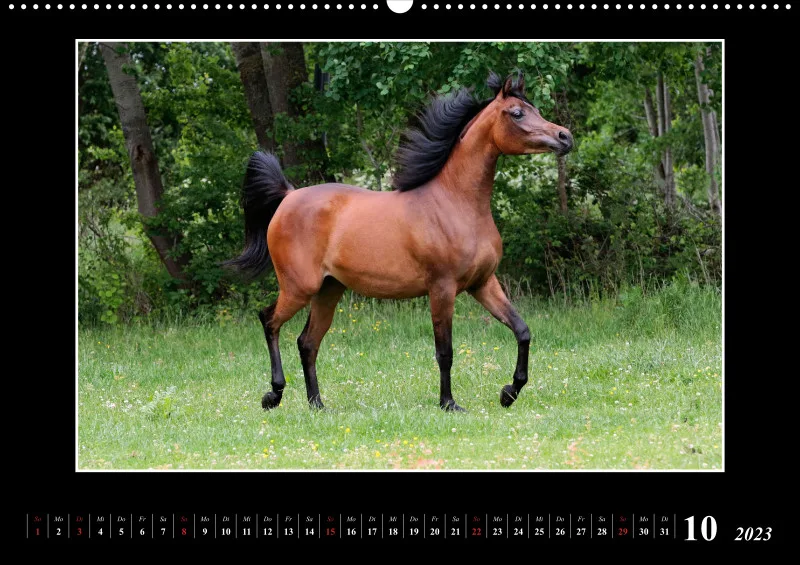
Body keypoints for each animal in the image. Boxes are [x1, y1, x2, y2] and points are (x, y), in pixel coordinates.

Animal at [226, 71, 573, 412]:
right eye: (517, 113)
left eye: (534, 108)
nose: (565, 137)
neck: (457, 203)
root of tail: (287, 196)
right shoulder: (442, 289)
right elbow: (445, 352)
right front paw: (449, 404)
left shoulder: (483, 283)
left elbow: (522, 331)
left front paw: (509, 393)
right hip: (299, 287)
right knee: (269, 322)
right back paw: (273, 395)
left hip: (328, 290)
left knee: (307, 343)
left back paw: (317, 405)